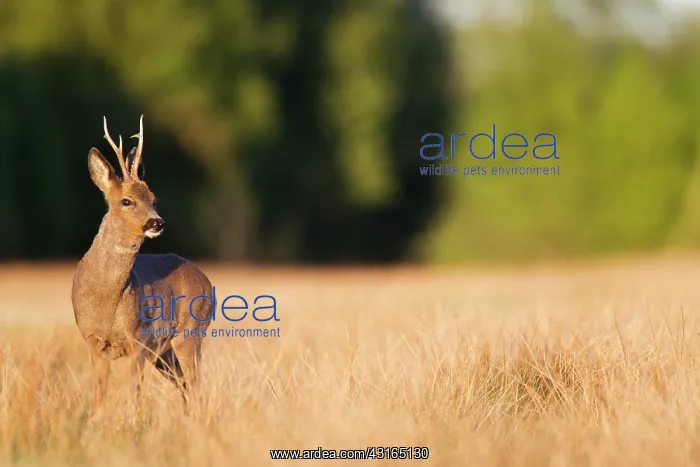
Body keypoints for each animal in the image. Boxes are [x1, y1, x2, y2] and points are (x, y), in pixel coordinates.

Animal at [71, 116, 213, 414]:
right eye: (126, 201)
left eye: (154, 199)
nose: (156, 222)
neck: (104, 300)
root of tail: (206, 279)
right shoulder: (93, 341)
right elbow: (99, 395)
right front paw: (97, 420)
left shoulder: (137, 338)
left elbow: (134, 392)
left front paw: (134, 420)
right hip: (164, 352)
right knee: (184, 385)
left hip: (190, 334)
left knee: (195, 385)